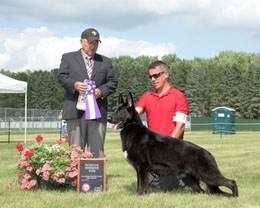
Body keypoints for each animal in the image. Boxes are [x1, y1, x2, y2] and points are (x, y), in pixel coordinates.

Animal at [106, 92, 239, 197]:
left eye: (119, 111)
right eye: (115, 110)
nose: (108, 118)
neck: (132, 127)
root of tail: (208, 153)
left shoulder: (142, 167)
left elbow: (142, 185)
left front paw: (139, 196)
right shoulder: (139, 169)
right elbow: (140, 184)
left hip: (208, 175)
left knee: (231, 182)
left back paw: (235, 196)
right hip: (189, 178)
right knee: (201, 191)